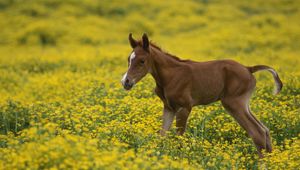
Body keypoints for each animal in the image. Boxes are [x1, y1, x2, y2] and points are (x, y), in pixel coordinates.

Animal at [120, 33, 282, 158]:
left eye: (142, 61)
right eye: (128, 59)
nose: (126, 82)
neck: (170, 76)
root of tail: (248, 69)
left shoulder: (185, 107)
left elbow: (179, 137)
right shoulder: (169, 107)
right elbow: (162, 134)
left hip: (234, 104)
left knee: (257, 132)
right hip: (242, 105)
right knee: (265, 130)